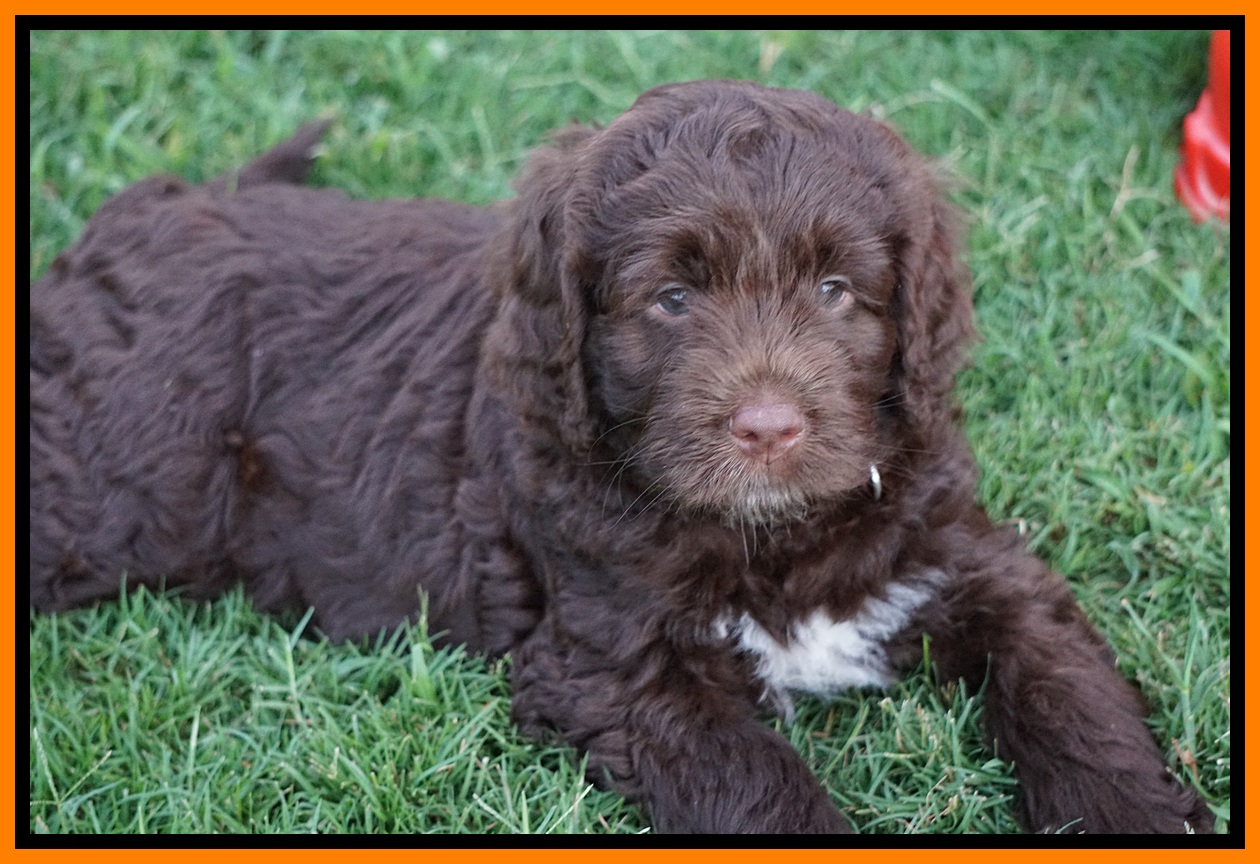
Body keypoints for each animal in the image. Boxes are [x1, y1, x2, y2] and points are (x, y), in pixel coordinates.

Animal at [29, 80, 1213, 834]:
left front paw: (1137, 813)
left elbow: (1072, 697)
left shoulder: (971, 560)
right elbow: (760, 786)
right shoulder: (614, 665)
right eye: (672, 298)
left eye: (838, 290)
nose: (768, 428)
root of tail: (151, 209)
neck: (770, 537)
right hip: (113, 489)